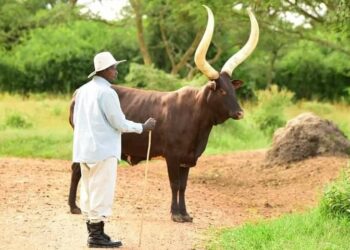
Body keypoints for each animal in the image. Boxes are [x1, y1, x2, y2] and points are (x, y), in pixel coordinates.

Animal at [69, 4, 260, 222]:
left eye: (233, 89)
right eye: (221, 91)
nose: (240, 113)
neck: (196, 115)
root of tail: (77, 93)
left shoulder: (187, 160)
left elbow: (184, 186)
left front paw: (185, 214)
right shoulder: (172, 157)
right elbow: (174, 184)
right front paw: (176, 214)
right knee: (77, 169)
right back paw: (74, 207)